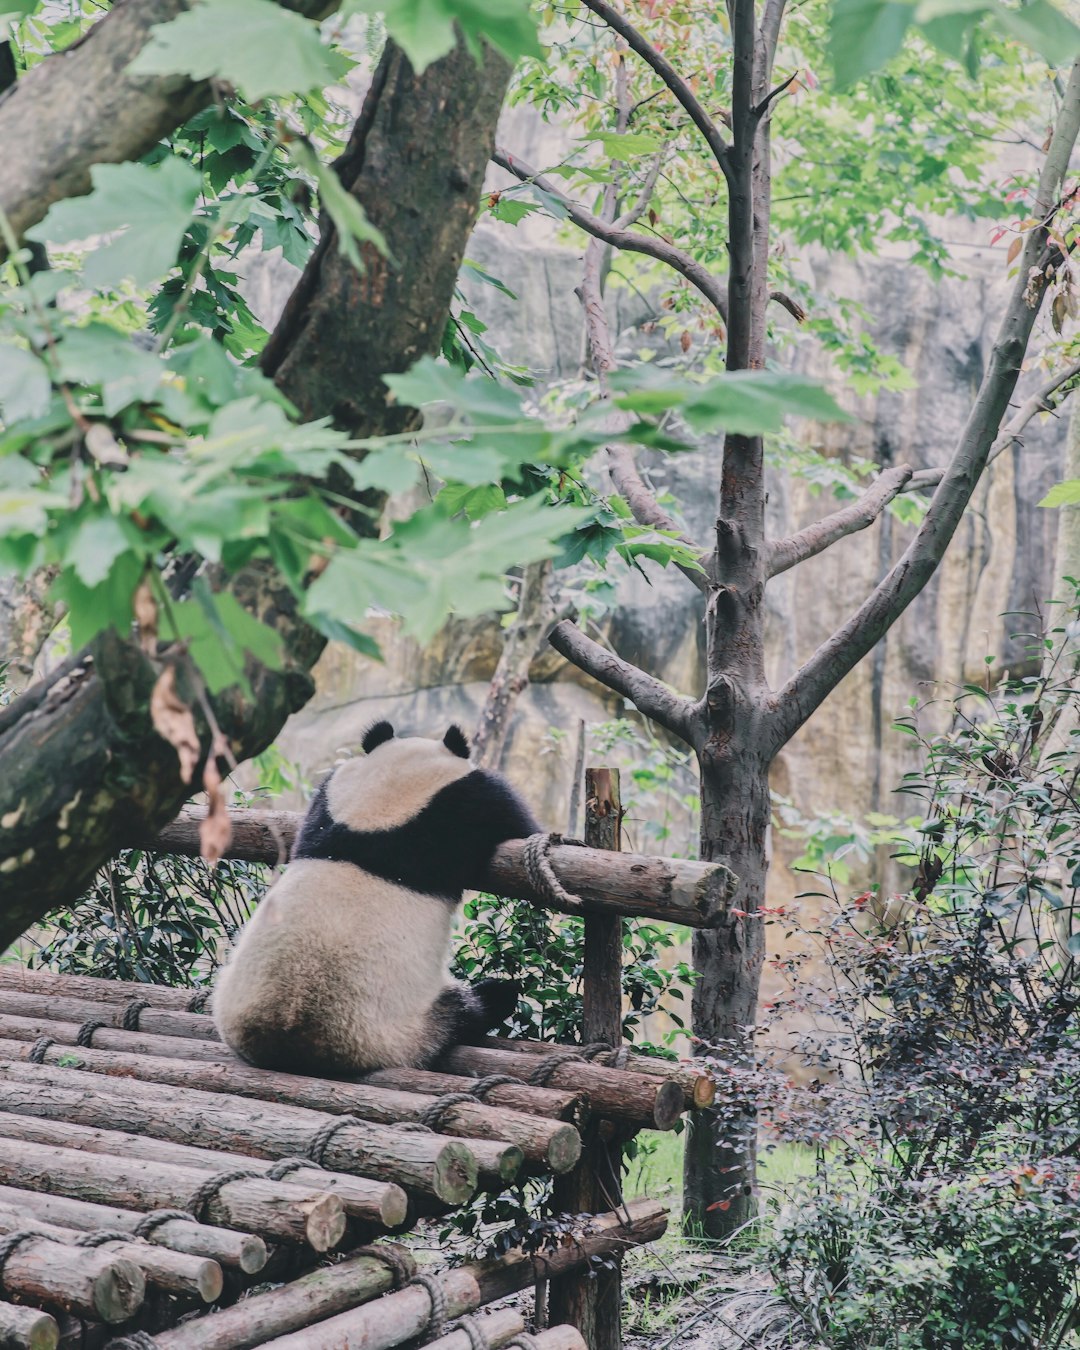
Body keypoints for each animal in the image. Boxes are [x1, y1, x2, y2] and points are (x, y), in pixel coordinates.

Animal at [210, 723, 540, 1080]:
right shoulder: (468, 801)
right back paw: (495, 996)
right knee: (464, 1012)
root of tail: (285, 1042)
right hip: (397, 1029)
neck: (382, 802)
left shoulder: (329, 800)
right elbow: (517, 822)